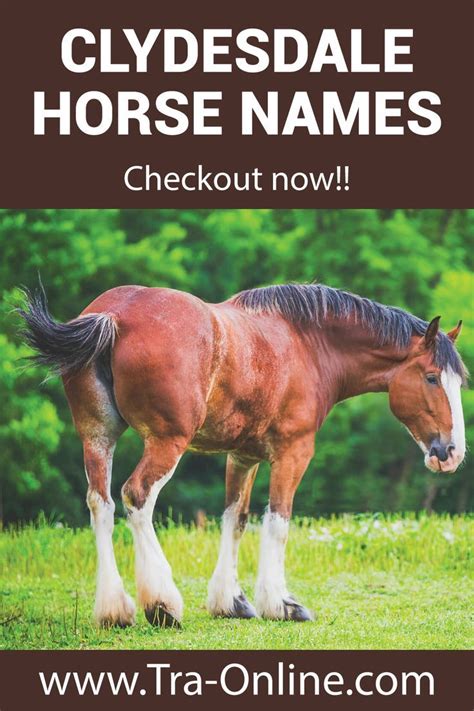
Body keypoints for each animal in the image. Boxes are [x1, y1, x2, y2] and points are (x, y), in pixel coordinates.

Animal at [19, 284, 466, 628]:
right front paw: (281, 603)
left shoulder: (242, 456)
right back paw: (162, 604)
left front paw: (230, 601)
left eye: (457, 382)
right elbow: (278, 521)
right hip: (166, 442)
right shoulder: (292, 452)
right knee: (137, 497)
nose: (451, 453)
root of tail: (114, 314)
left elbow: (235, 519)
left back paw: (114, 609)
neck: (307, 344)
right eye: (431, 378)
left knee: (102, 504)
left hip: (97, 437)